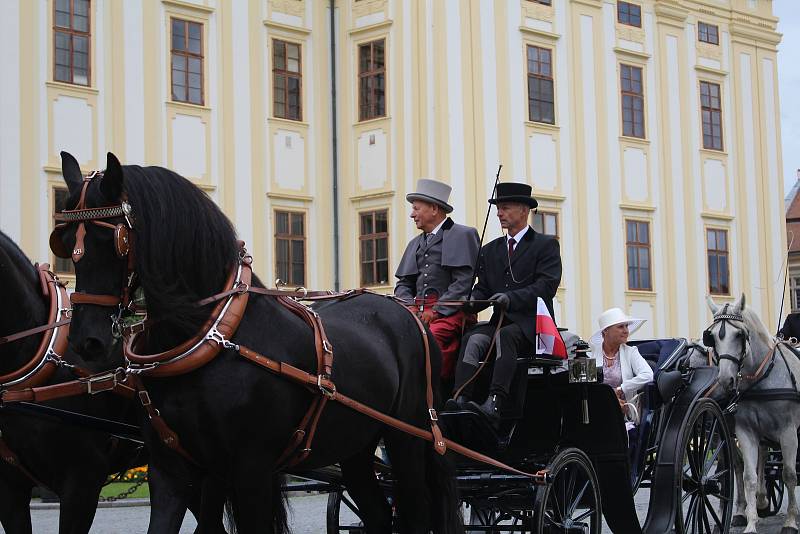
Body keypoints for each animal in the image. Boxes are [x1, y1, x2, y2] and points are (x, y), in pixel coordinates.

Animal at [56, 152, 462, 534]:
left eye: (115, 239)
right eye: (63, 239)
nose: (86, 339)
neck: (211, 337)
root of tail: (410, 313)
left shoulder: (251, 468)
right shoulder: (175, 469)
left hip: (407, 437)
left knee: (416, 511)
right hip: (355, 444)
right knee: (378, 513)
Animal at [708, 296, 800, 532]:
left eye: (739, 335)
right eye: (712, 337)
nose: (725, 380)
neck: (762, 378)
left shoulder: (788, 432)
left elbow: (789, 474)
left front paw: (790, 522)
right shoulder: (745, 432)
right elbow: (748, 474)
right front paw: (750, 522)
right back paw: (759, 502)